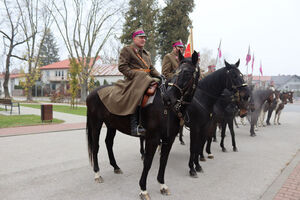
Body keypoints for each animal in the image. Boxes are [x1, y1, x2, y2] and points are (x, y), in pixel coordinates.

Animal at [85, 50, 200, 199]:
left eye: (187, 73)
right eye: (175, 72)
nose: (168, 98)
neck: (166, 109)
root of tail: (91, 93)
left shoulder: (169, 139)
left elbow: (164, 160)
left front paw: (162, 185)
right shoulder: (153, 138)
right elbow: (148, 162)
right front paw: (143, 189)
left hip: (111, 125)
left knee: (108, 143)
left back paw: (116, 167)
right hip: (96, 124)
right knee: (95, 146)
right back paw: (97, 173)